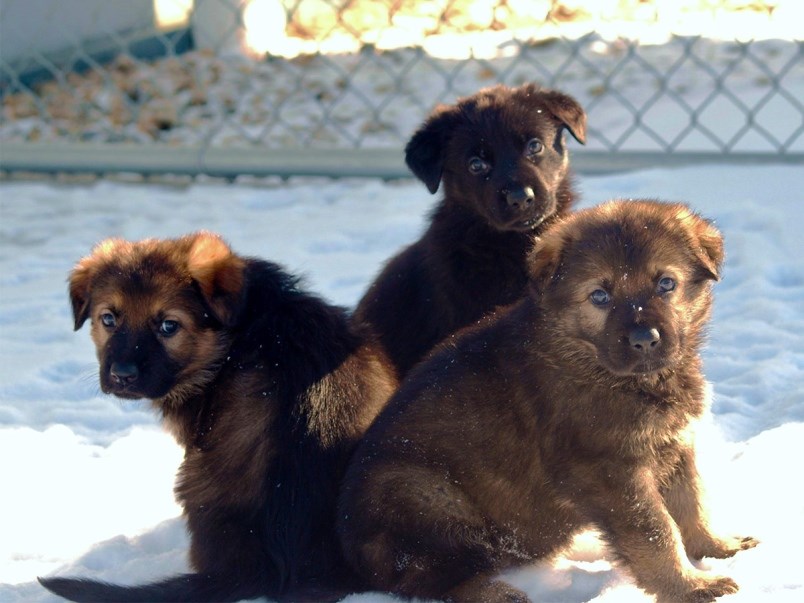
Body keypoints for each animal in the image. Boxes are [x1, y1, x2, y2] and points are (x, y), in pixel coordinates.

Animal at [340, 201, 760, 600]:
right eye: (600, 296)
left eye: (666, 284)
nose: (644, 340)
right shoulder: (610, 470)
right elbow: (656, 530)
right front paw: (689, 586)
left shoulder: (674, 444)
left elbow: (692, 500)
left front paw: (716, 546)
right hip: (426, 500)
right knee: (429, 580)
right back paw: (497, 593)